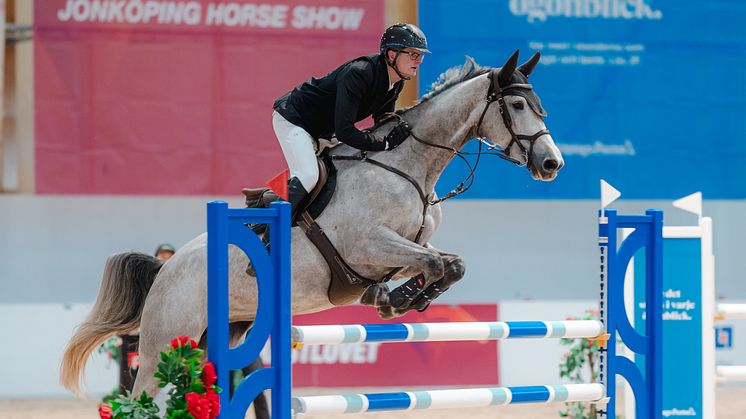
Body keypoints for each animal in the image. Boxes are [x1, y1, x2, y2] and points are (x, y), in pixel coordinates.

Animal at [62, 50, 564, 400]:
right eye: (517, 105)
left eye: (541, 106)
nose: (552, 164)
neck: (409, 167)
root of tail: (164, 270)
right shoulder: (368, 245)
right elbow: (440, 265)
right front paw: (395, 302)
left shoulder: (407, 248)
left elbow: (449, 264)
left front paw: (394, 299)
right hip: (163, 345)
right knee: (142, 396)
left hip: (218, 337)